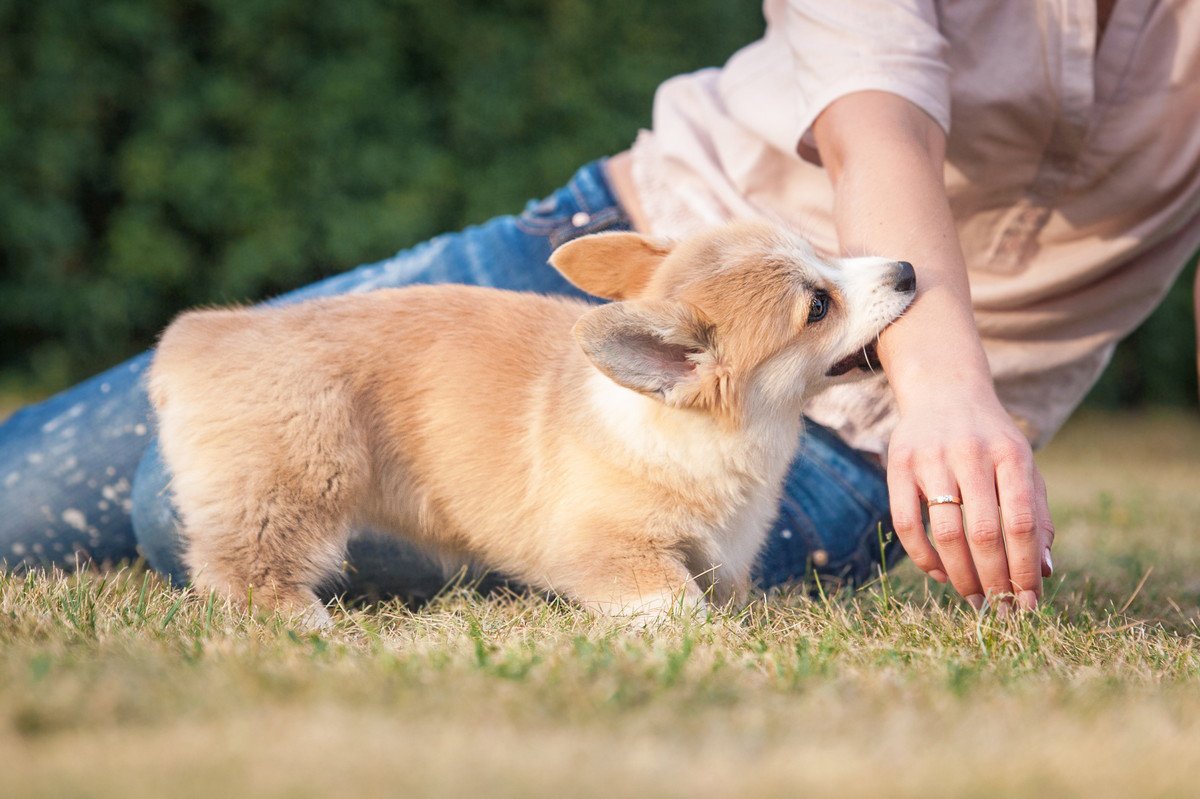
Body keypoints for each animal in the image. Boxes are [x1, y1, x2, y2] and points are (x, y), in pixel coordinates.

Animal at [152, 218, 916, 623]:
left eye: (823, 250)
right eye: (817, 306)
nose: (909, 269)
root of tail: (197, 337)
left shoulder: (724, 553)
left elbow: (723, 590)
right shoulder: (607, 548)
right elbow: (679, 602)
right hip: (299, 483)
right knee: (240, 567)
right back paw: (311, 623)